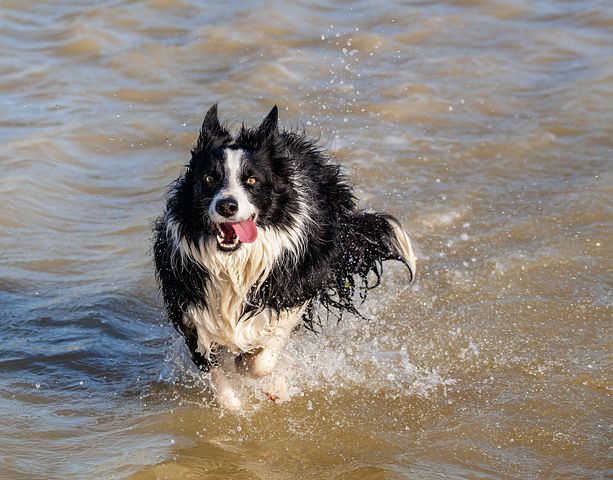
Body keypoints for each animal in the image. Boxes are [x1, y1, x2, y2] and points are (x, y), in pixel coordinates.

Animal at [152, 105, 416, 408]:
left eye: (252, 180)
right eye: (209, 178)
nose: (227, 206)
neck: (234, 262)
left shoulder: (296, 288)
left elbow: (265, 355)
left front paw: (257, 371)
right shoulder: (191, 308)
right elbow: (214, 368)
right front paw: (235, 403)